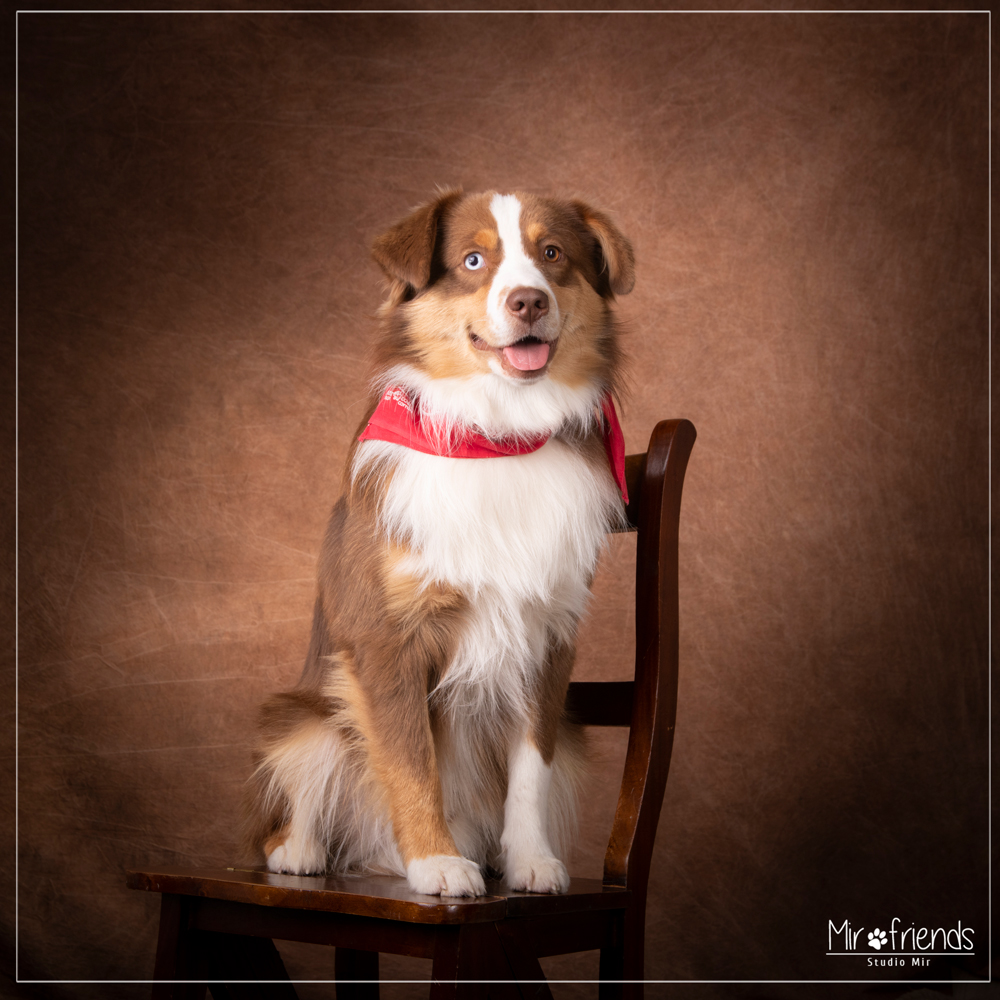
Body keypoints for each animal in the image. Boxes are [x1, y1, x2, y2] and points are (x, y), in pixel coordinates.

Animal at [242, 188, 632, 900]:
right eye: (473, 260)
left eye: (551, 254)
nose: (528, 301)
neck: (499, 436)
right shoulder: (387, 640)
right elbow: (410, 761)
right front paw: (436, 862)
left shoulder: (547, 641)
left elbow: (530, 771)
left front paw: (531, 861)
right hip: (304, 712)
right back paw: (301, 852)